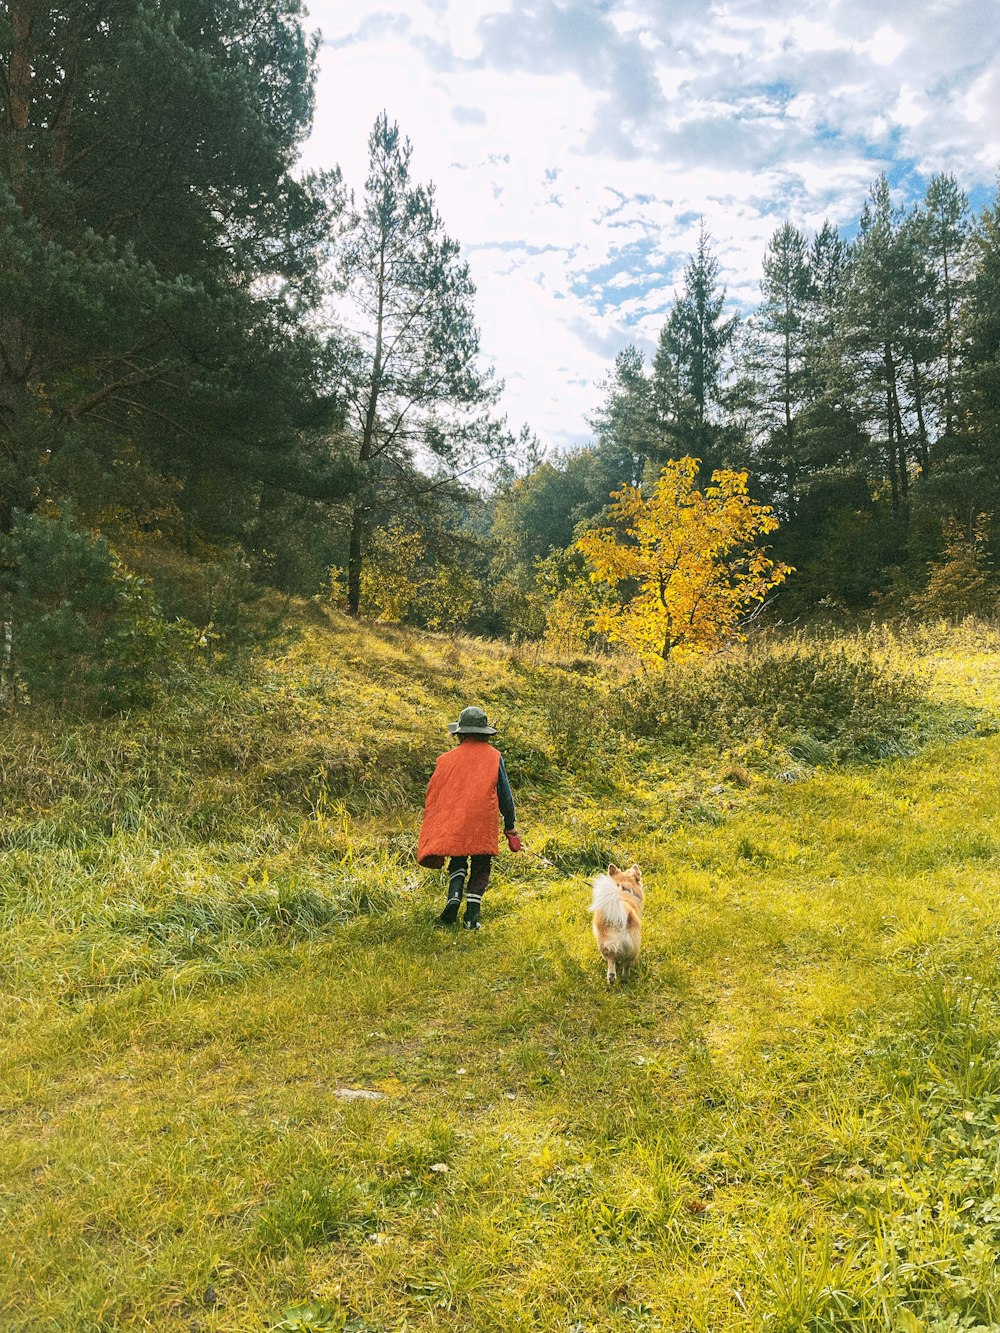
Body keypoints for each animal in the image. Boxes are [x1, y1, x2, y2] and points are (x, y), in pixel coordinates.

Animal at [592, 858, 645, 986]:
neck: (623, 888)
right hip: (632, 948)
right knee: (624, 964)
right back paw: (624, 978)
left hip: (605, 943)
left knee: (611, 960)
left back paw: (612, 977)